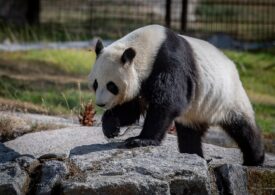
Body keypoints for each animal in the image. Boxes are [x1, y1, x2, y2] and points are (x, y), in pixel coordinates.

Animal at [88, 24, 266, 165]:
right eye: (96, 84)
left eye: (111, 86)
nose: (101, 104)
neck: (147, 48)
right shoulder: (142, 81)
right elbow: (131, 109)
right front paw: (111, 128)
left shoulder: (169, 62)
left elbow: (168, 102)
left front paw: (139, 140)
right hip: (196, 111)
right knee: (189, 133)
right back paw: (194, 155)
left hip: (228, 96)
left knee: (243, 128)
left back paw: (255, 159)